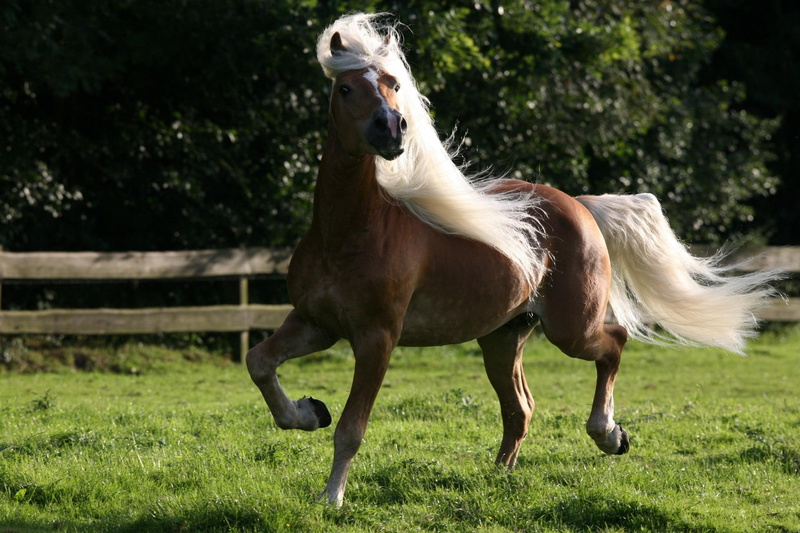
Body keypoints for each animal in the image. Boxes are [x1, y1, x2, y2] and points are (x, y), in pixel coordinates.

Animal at [246, 13, 780, 506]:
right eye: (345, 88)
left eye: (394, 84)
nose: (392, 129)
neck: (349, 234)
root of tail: (579, 204)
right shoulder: (317, 323)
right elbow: (259, 363)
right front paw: (309, 411)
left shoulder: (377, 338)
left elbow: (352, 428)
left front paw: (331, 498)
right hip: (503, 337)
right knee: (520, 409)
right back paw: (497, 479)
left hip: (570, 329)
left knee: (614, 343)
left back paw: (609, 434)